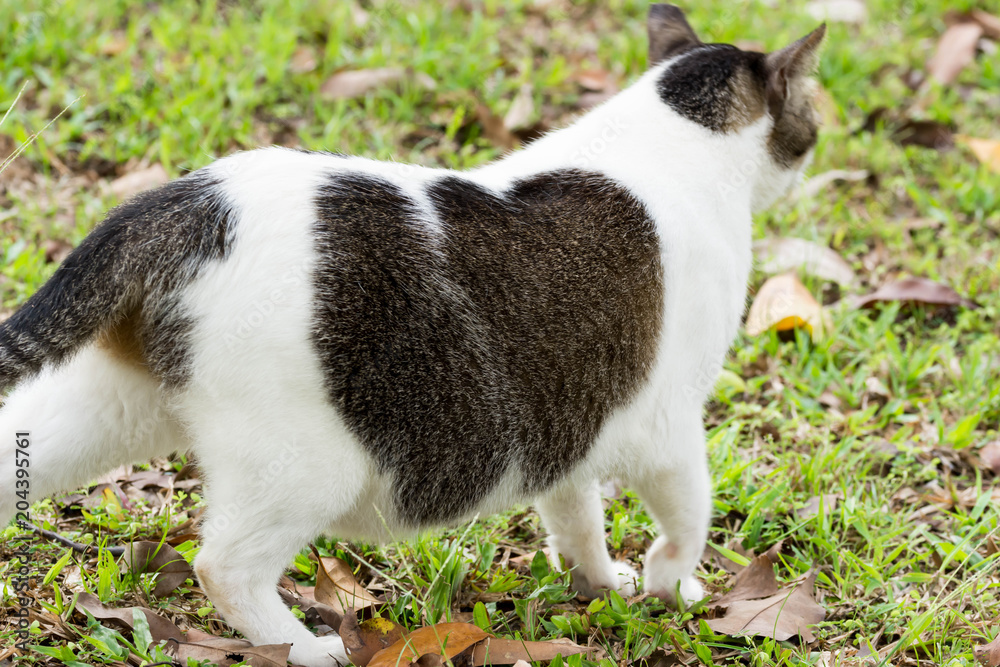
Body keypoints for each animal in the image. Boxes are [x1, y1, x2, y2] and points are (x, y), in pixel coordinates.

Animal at [0, 6, 824, 667]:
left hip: (108, 409)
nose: (816, 136)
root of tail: (191, 202)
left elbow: (576, 515)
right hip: (305, 463)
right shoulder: (668, 425)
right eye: (809, 118)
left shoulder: (568, 418)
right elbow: (689, 515)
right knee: (225, 567)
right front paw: (671, 584)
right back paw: (304, 647)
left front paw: (597, 579)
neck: (669, 136)